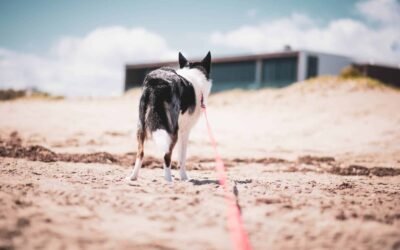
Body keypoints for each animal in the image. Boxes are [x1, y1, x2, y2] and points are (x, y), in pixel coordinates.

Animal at [126, 51, 212, 183]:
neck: (193, 72)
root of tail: (156, 82)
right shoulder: (184, 132)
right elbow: (182, 157)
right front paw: (184, 177)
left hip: (141, 126)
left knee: (140, 153)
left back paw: (133, 177)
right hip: (172, 130)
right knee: (166, 155)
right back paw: (168, 180)